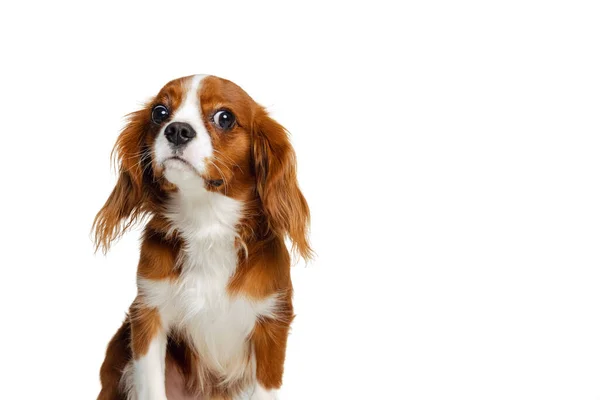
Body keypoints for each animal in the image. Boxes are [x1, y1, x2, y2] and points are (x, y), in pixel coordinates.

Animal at [94, 75, 314, 400]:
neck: (206, 223)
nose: (177, 130)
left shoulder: (272, 323)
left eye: (225, 117)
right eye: (159, 112)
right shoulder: (148, 314)